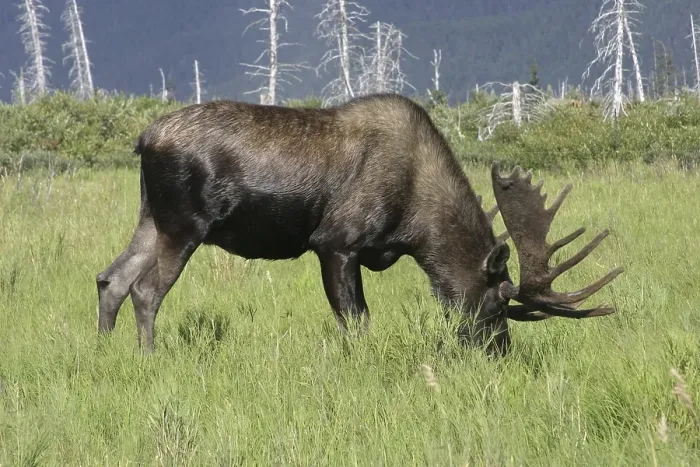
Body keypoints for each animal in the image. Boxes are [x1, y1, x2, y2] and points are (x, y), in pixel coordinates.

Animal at [95, 93, 623, 355]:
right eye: (496, 304)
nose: (500, 354)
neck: (416, 226)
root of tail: (144, 139)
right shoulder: (336, 242)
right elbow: (357, 322)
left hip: (150, 217)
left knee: (111, 278)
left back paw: (104, 354)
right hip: (183, 225)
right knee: (145, 290)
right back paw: (150, 358)